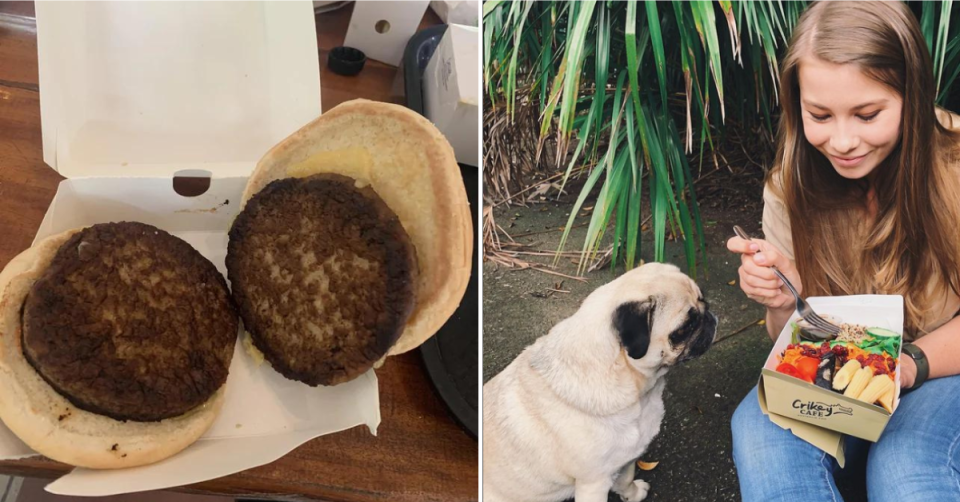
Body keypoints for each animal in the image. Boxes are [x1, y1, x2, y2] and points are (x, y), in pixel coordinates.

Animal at [484, 262, 716, 502]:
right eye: (685, 328)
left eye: (703, 299)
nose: (709, 316)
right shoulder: (593, 483)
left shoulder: (625, 459)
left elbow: (626, 479)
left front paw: (632, 494)